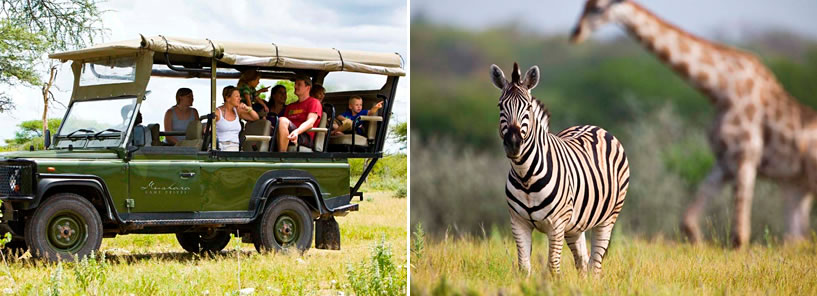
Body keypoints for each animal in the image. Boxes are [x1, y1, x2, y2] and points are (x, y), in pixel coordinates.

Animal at [490, 61, 632, 276]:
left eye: (528, 107)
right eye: (500, 106)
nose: (513, 144)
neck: (526, 176)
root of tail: (593, 126)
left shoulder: (556, 225)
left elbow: (552, 267)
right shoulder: (518, 222)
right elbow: (524, 267)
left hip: (609, 217)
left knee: (595, 264)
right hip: (576, 224)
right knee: (582, 261)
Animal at [568, 0, 816, 249]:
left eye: (599, 8)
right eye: (583, 6)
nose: (575, 33)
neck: (721, 90)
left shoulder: (746, 155)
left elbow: (740, 235)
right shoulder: (724, 160)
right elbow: (688, 220)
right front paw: (698, 246)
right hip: (797, 186)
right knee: (797, 235)